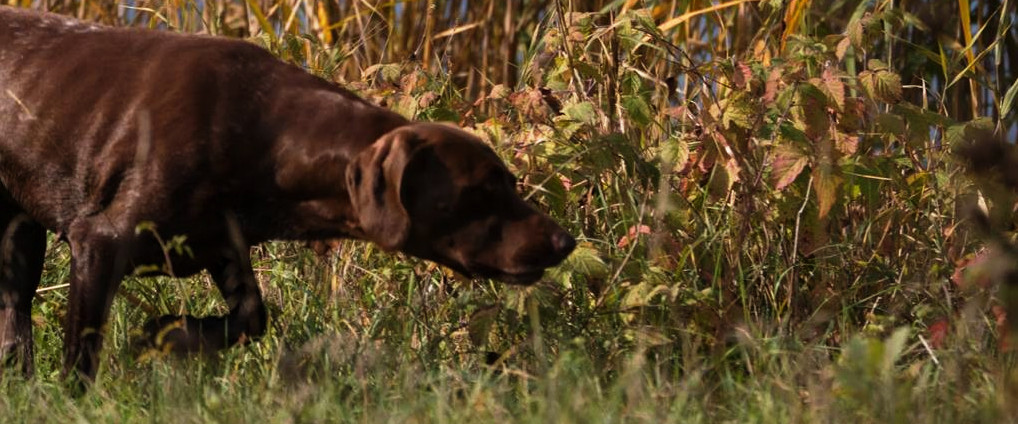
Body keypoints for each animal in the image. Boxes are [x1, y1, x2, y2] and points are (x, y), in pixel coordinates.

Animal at [0, 6, 574, 382]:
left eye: (510, 183)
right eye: (482, 190)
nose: (565, 242)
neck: (265, 134)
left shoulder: (224, 248)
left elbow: (251, 319)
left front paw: (167, 334)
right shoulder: (98, 242)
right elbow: (80, 359)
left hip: (19, 234)